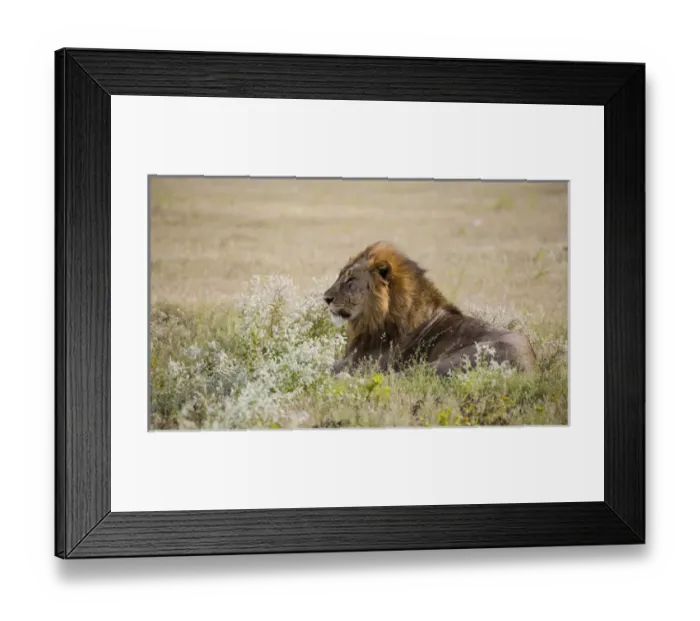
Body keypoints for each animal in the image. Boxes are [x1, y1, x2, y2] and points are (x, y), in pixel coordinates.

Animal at [323, 242, 536, 376]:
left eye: (350, 279)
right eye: (340, 275)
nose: (326, 298)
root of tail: (532, 364)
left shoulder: (367, 362)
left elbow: (328, 367)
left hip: (450, 360)